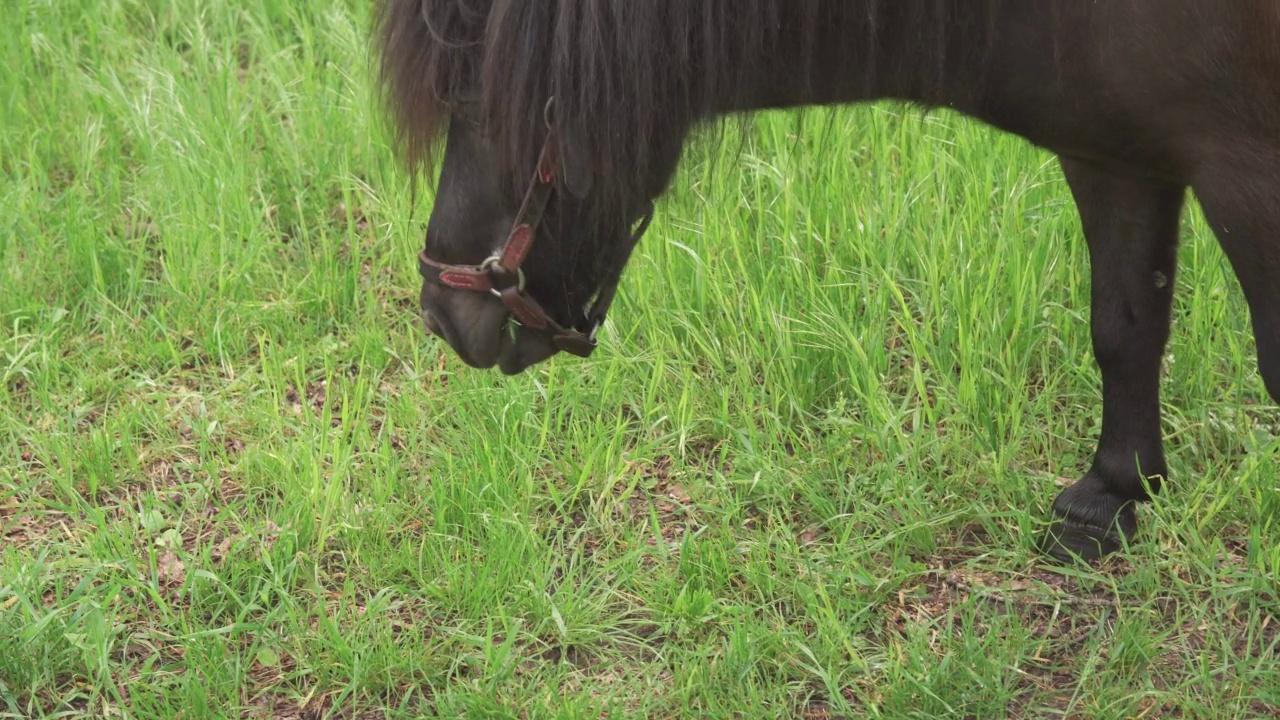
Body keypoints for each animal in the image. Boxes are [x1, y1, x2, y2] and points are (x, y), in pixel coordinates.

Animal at [373, 0, 1280, 558]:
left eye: (480, 100)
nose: (442, 313)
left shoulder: (1245, 174)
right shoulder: (1116, 155)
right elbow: (1124, 324)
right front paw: (1111, 498)